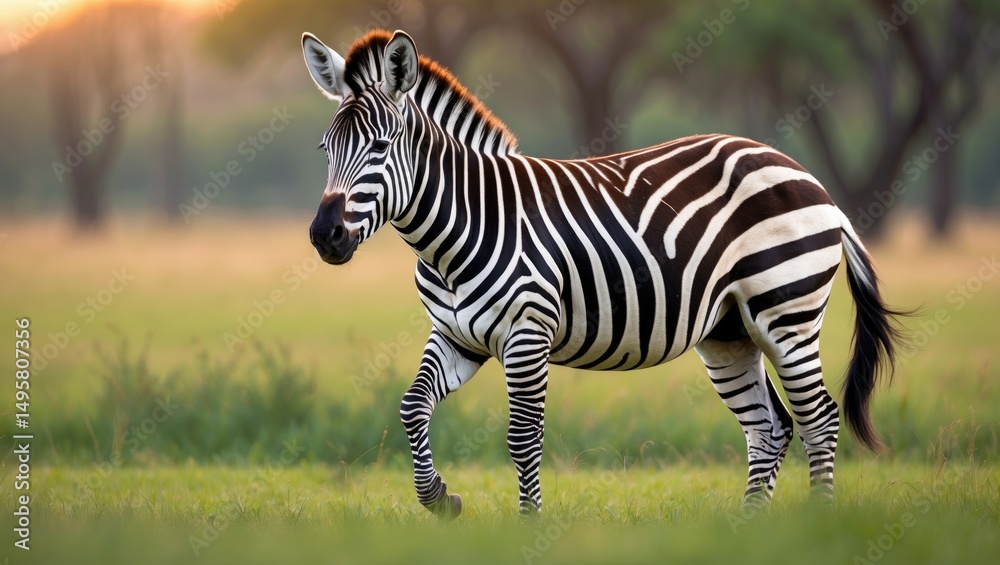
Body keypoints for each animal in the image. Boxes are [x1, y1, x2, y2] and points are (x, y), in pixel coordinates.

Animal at [301, 29, 903, 518]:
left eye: (380, 147)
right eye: (326, 148)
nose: (324, 236)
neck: (458, 231)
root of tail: (801, 171)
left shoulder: (527, 333)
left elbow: (523, 436)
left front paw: (527, 526)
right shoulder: (456, 336)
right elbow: (411, 408)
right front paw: (440, 499)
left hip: (786, 313)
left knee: (819, 419)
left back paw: (815, 523)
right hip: (729, 332)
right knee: (770, 427)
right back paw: (750, 528)